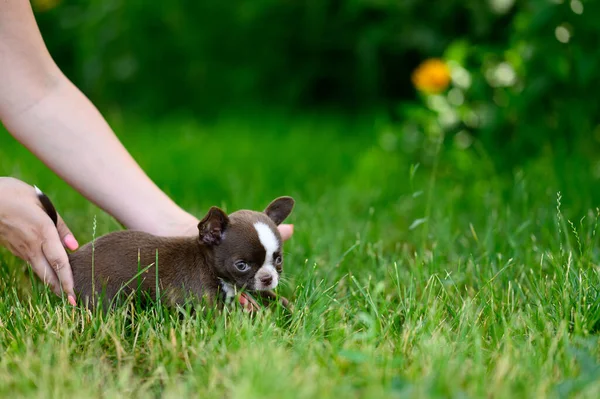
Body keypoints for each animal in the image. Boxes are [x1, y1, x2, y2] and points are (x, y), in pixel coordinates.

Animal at [34, 188, 292, 312]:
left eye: (278, 260)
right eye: (241, 265)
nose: (268, 278)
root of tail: (73, 257)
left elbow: (271, 297)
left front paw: (289, 307)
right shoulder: (203, 302)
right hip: (102, 294)